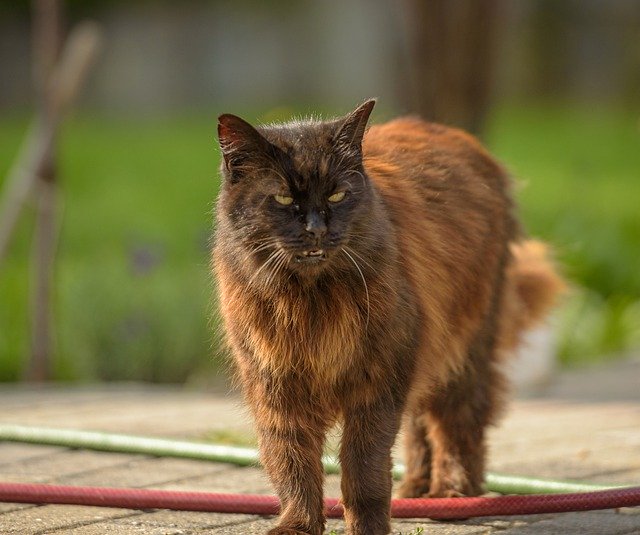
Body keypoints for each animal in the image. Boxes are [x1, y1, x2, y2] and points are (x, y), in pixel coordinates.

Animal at [212, 100, 564, 535]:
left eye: (337, 193)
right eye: (280, 198)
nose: (315, 228)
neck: (311, 302)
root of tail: (459, 137)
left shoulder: (378, 381)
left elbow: (364, 468)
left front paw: (368, 525)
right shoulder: (277, 386)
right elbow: (292, 464)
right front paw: (298, 524)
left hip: (463, 350)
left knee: (458, 423)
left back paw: (452, 493)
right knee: (419, 425)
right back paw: (416, 487)